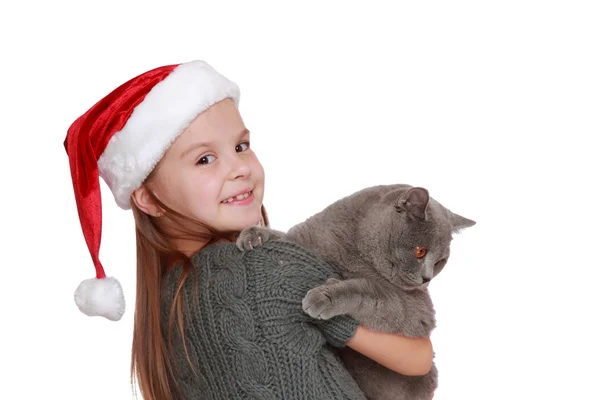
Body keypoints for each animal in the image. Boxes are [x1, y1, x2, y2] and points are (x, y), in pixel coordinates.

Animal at [237, 184, 476, 400]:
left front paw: (323, 297)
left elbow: (363, 290)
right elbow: (285, 238)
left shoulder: (416, 309)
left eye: (440, 261)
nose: (427, 279)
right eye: (420, 251)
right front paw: (253, 235)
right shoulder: (308, 242)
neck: (355, 248)